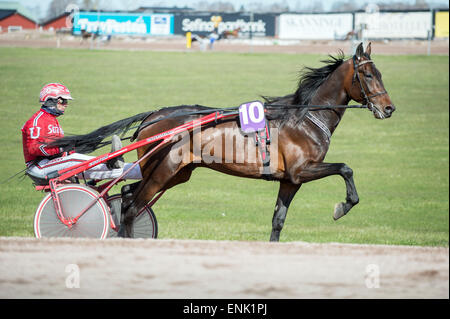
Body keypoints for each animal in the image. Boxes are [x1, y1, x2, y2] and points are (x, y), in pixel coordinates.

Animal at [49, 43, 396, 242]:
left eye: (380, 73)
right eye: (368, 75)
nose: (389, 108)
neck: (305, 118)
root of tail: (153, 116)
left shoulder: (290, 180)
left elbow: (278, 221)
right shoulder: (303, 169)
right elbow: (346, 168)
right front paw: (342, 207)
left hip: (174, 173)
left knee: (129, 195)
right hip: (163, 169)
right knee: (132, 206)